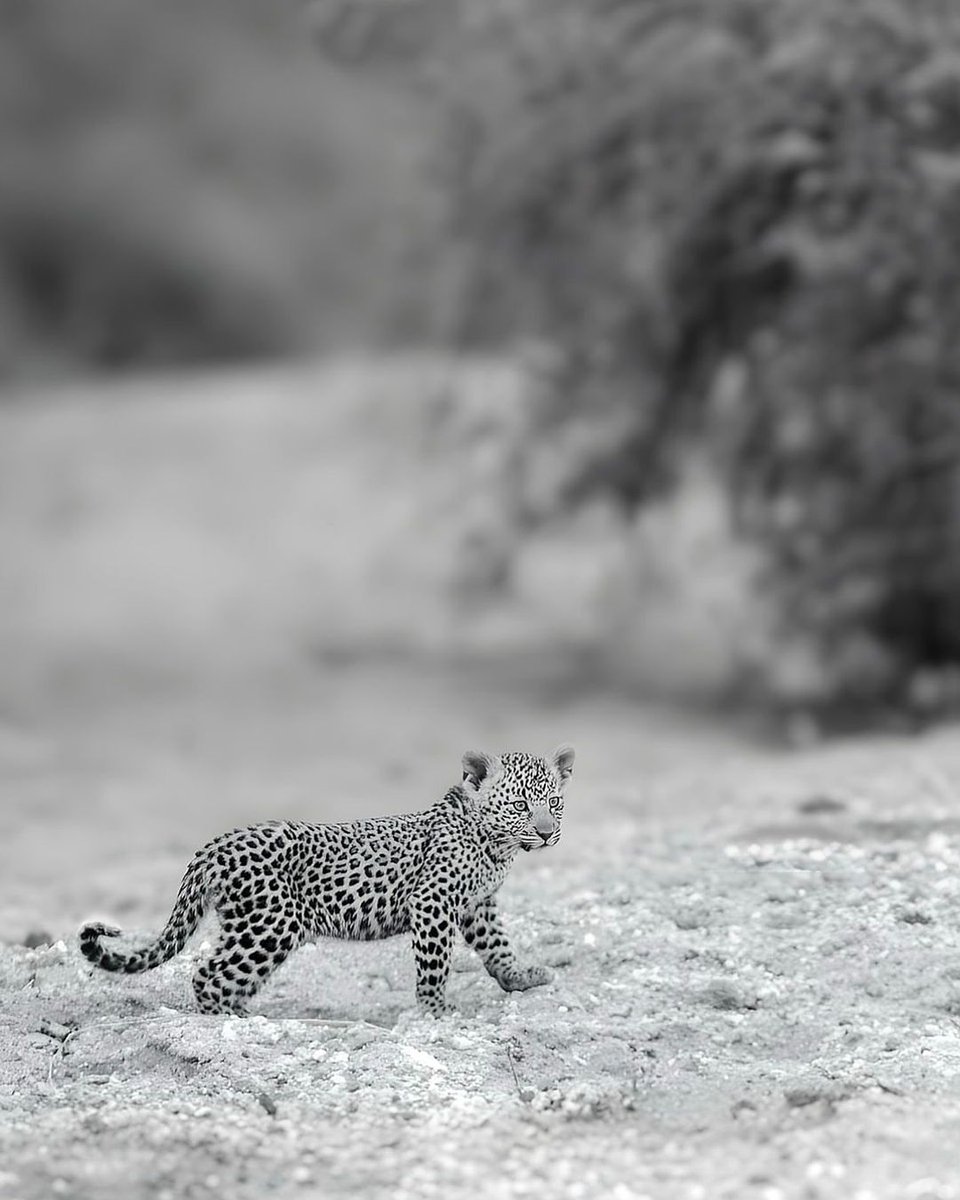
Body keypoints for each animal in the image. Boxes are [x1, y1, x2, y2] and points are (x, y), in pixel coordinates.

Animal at [79, 745, 574, 1017]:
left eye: (553, 802)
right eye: (519, 806)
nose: (547, 833)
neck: (496, 846)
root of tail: (215, 845)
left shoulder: (476, 905)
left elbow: (497, 945)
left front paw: (520, 978)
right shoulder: (433, 902)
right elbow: (435, 964)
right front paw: (436, 1011)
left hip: (252, 927)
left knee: (221, 972)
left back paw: (243, 1012)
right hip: (269, 926)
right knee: (208, 974)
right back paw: (235, 1022)